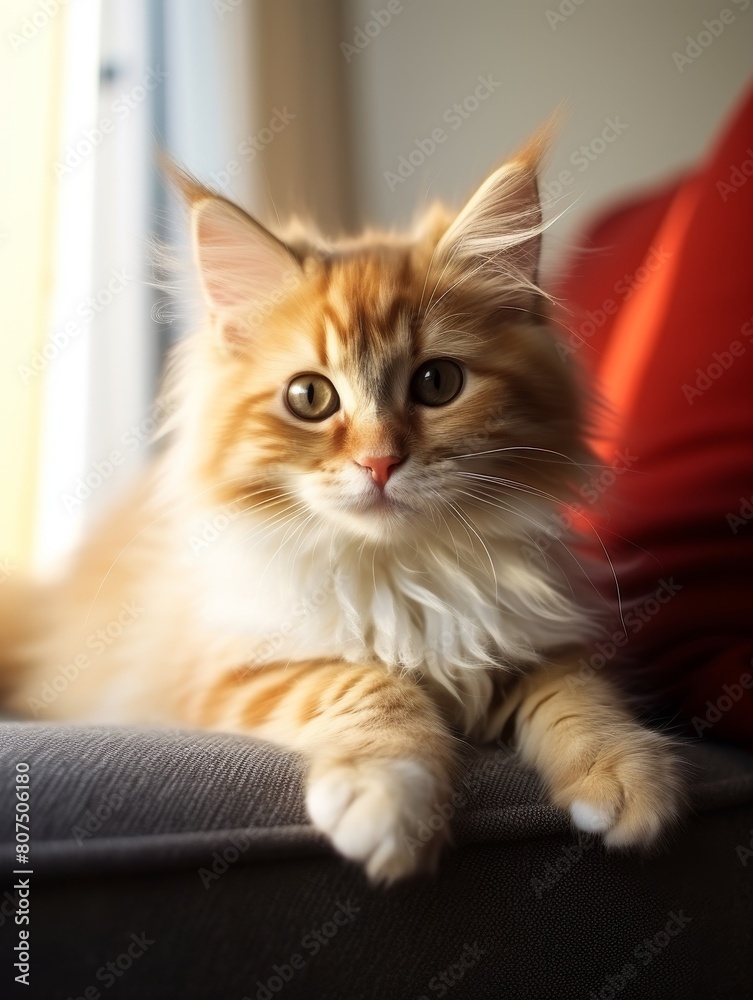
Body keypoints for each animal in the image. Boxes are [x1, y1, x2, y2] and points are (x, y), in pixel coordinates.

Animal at [0, 125, 680, 884]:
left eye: (437, 383)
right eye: (310, 397)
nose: (379, 463)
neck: (401, 573)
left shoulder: (532, 641)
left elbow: (583, 698)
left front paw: (625, 779)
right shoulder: (226, 671)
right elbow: (366, 684)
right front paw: (384, 800)